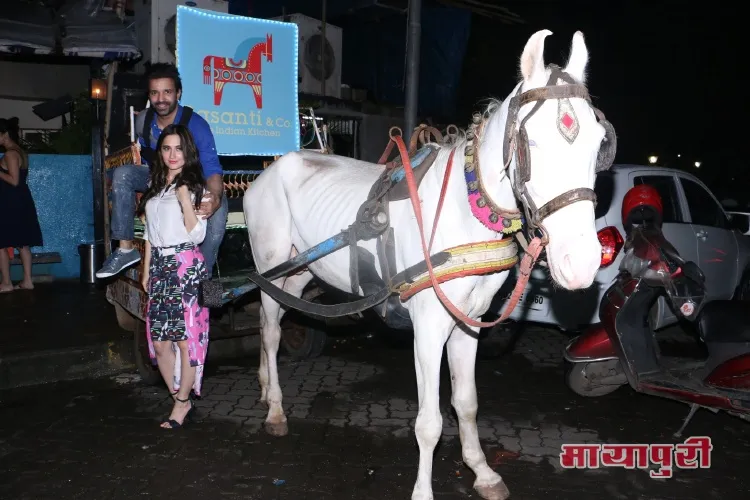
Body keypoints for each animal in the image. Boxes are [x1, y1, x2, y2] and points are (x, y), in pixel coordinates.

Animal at [244, 29, 612, 498]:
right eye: (531, 144)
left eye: (599, 145)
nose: (581, 264)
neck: (467, 207)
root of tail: (269, 170)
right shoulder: (429, 327)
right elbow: (430, 423)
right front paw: (423, 489)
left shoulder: (469, 321)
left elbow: (467, 403)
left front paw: (482, 472)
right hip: (271, 261)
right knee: (272, 330)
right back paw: (274, 408)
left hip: (299, 269)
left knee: (271, 319)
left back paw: (263, 387)